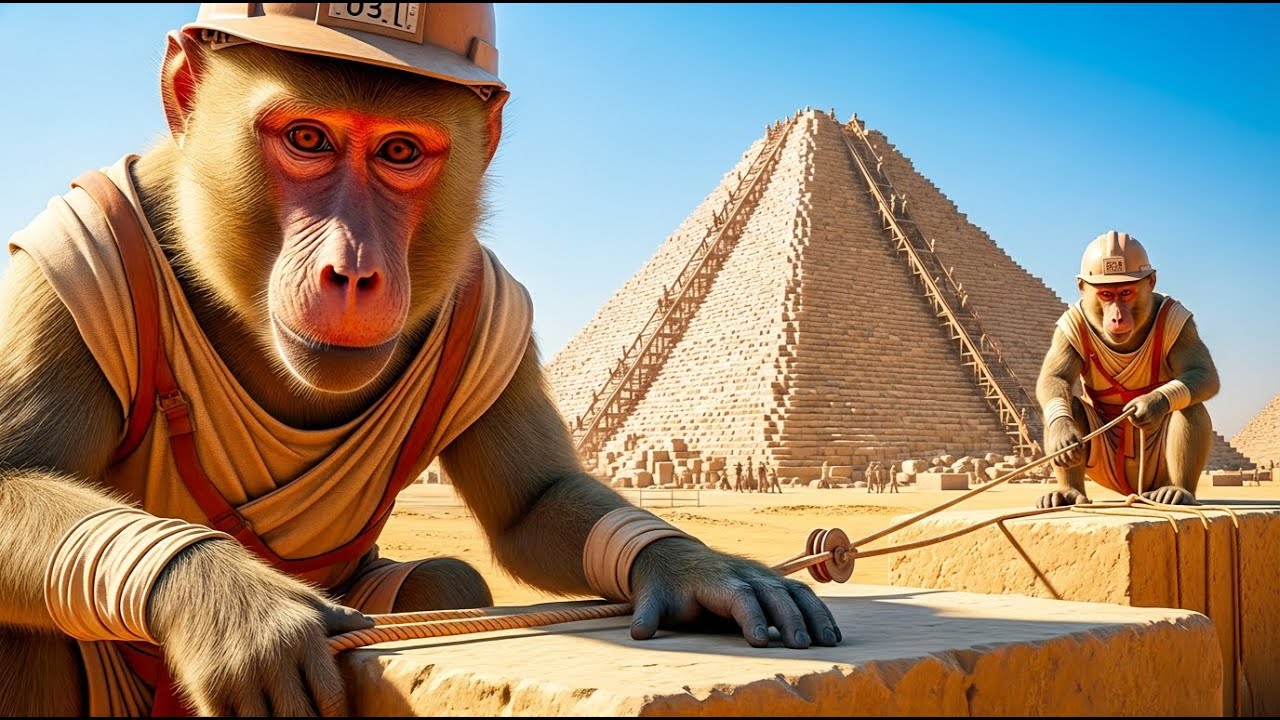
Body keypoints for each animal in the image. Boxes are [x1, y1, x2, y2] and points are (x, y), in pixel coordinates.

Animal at [0, 6, 840, 716]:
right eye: (307, 139)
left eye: (400, 151)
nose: (353, 269)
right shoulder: (68, 259)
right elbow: (17, 473)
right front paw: (231, 603)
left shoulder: (496, 302)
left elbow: (534, 500)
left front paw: (695, 567)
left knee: (452, 575)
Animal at [1036, 231, 1219, 509]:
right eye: (1105, 295)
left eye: (1125, 292)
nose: (1117, 318)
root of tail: (1133, 490)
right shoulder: (1067, 325)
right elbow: (1056, 377)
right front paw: (1063, 438)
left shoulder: (1182, 321)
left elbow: (1201, 370)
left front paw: (1149, 403)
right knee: (1070, 402)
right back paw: (1068, 492)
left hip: (1155, 471)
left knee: (1190, 402)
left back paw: (1178, 491)